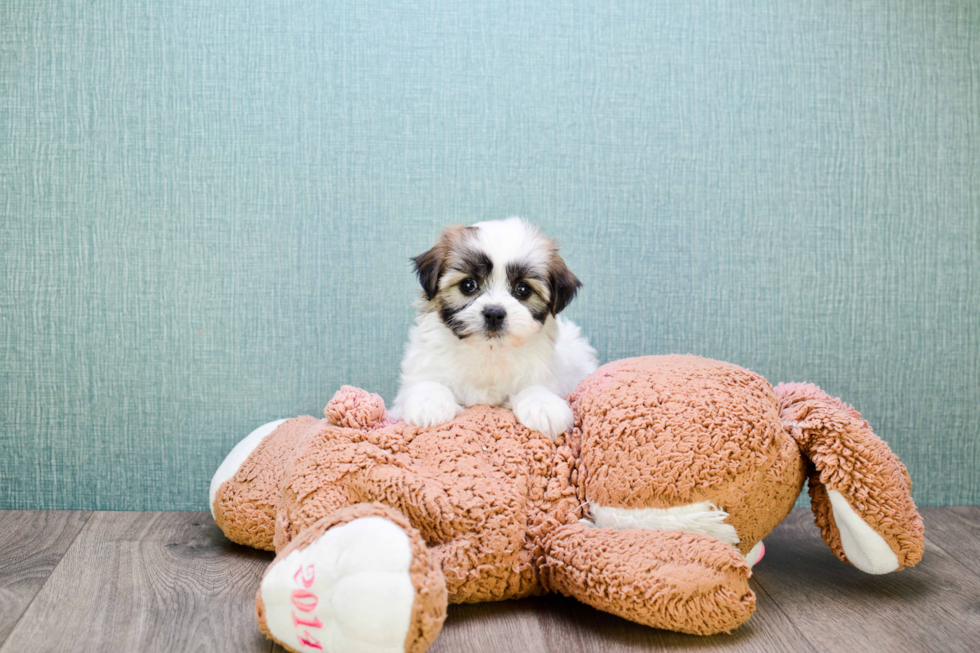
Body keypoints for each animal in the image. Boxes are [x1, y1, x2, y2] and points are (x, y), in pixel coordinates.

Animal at [390, 218, 596, 438]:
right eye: (468, 285)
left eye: (522, 289)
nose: (494, 313)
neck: (489, 352)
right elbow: (427, 382)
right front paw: (429, 404)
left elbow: (535, 387)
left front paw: (543, 405)